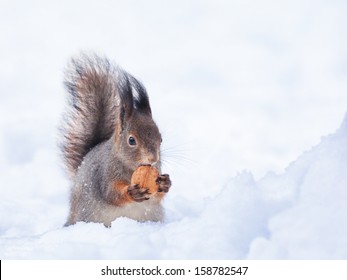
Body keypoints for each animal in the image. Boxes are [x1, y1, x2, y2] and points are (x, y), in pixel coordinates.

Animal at [61, 53, 173, 228]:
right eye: (131, 140)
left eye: (160, 138)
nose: (153, 158)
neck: (131, 167)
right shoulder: (105, 173)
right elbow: (111, 194)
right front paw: (132, 192)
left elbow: (156, 198)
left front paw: (165, 183)